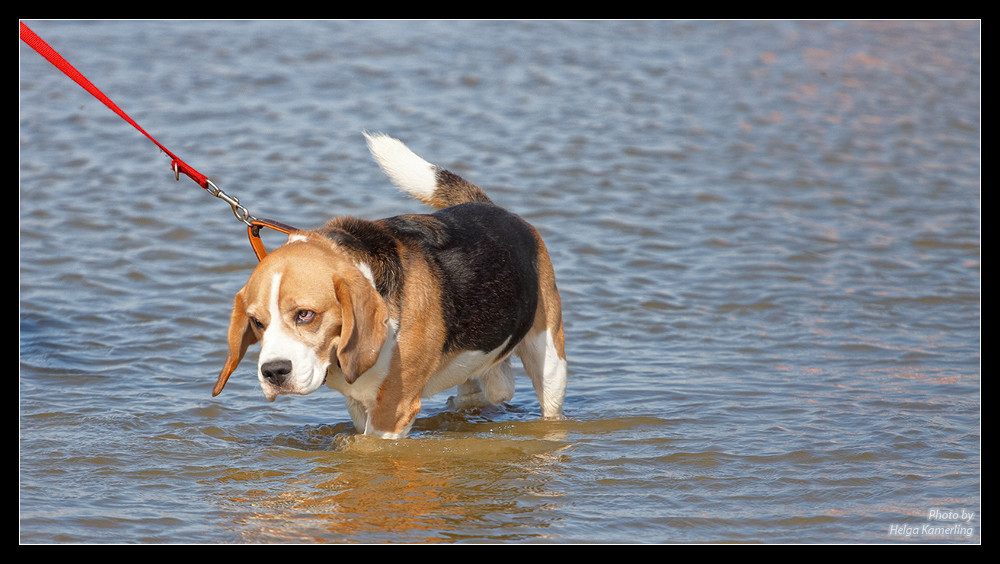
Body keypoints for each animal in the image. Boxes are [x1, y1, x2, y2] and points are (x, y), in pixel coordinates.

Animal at [214, 133, 568, 440]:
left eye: (305, 315)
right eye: (257, 323)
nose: (273, 372)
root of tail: (491, 208)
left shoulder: (392, 411)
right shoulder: (359, 404)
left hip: (550, 360)